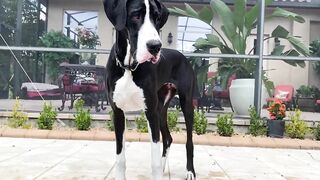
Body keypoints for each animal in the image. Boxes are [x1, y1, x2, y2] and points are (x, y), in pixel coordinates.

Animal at [103, 0, 198, 179]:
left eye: (157, 18)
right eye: (135, 15)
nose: (155, 46)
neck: (129, 68)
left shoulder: (150, 113)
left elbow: (154, 159)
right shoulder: (118, 113)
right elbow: (120, 158)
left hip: (186, 104)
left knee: (189, 141)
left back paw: (190, 171)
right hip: (160, 109)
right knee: (168, 138)